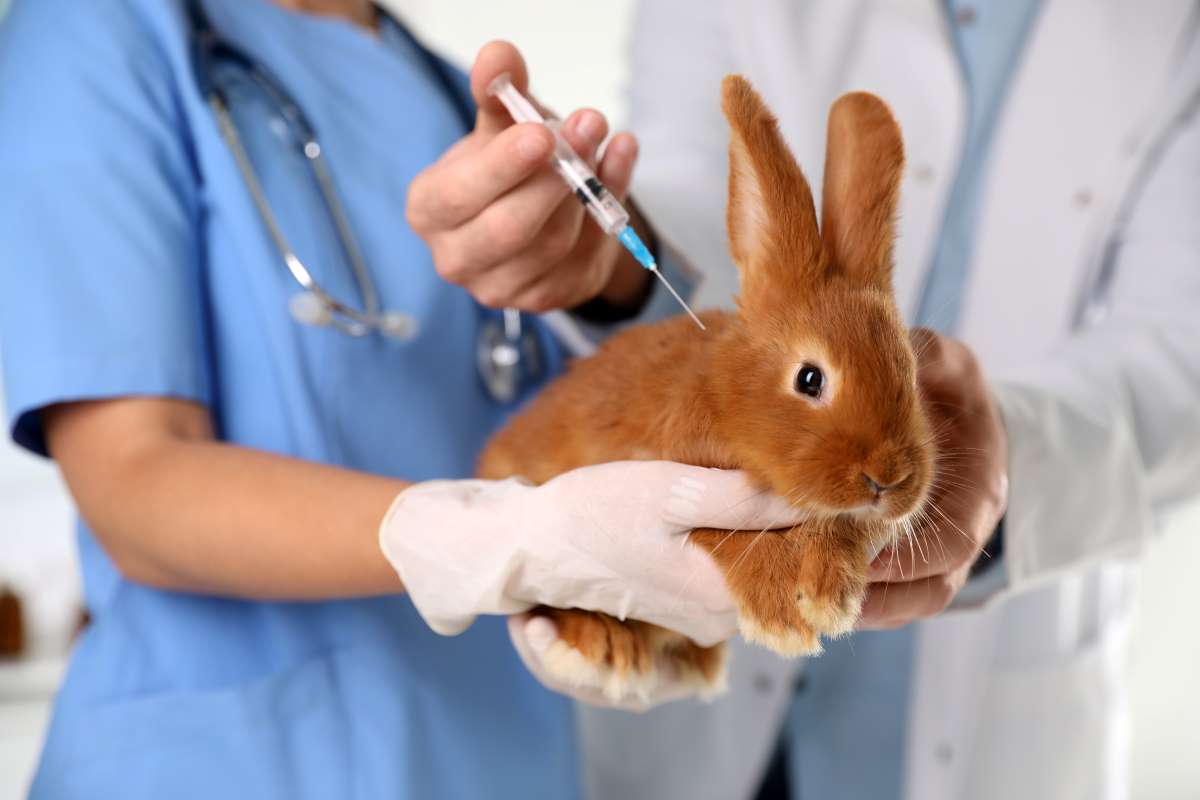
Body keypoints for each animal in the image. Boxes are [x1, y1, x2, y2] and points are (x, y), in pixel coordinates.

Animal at [477, 75, 935, 702]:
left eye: (909, 371)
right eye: (810, 378)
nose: (889, 479)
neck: (729, 396)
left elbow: (832, 531)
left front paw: (830, 590)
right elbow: (729, 535)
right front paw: (785, 612)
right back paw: (602, 650)